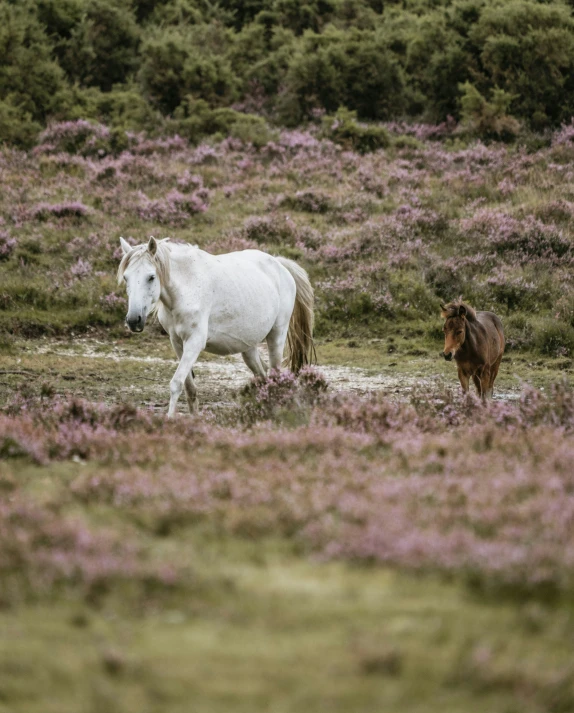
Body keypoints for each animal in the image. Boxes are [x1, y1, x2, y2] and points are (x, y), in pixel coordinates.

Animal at [117, 238, 316, 418]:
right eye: (126, 277)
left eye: (151, 277)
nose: (133, 320)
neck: (187, 287)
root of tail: (280, 265)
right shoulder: (177, 343)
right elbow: (189, 388)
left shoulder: (195, 342)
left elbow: (176, 383)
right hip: (249, 349)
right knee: (262, 377)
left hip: (276, 336)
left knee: (275, 376)